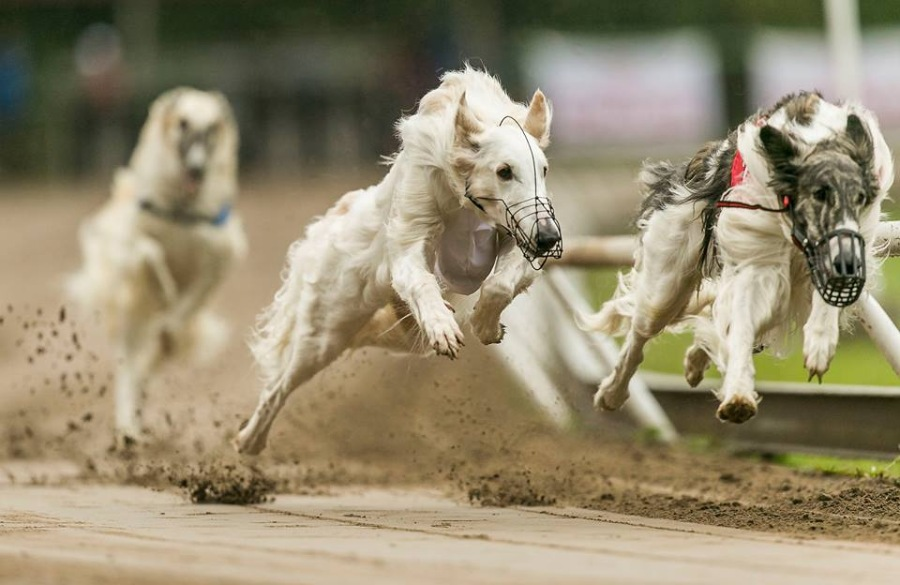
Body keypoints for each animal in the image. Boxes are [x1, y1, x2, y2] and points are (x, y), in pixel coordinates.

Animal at [68, 86, 248, 442]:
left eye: (212, 128)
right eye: (182, 123)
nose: (197, 169)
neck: (181, 209)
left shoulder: (219, 255)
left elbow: (191, 301)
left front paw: (172, 319)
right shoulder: (129, 240)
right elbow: (150, 253)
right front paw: (164, 291)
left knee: (146, 368)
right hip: (129, 318)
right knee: (129, 372)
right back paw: (127, 429)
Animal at [237, 67, 564, 452]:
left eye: (543, 169)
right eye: (504, 171)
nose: (549, 239)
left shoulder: (518, 234)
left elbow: (500, 284)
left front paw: (486, 325)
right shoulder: (410, 238)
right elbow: (420, 278)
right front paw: (442, 328)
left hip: (393, 334)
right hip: (324, 333)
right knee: (280, 385)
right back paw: (249, 439)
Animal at [580, 91, 896, 422]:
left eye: (859, 197)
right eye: (819, 194)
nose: (845, 259)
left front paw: (819, 346)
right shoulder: (755, 259)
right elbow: (741, 326)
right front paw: (738, 397)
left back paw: (695, 361)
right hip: (667, 283)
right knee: (641, 334)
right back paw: (612, 393)